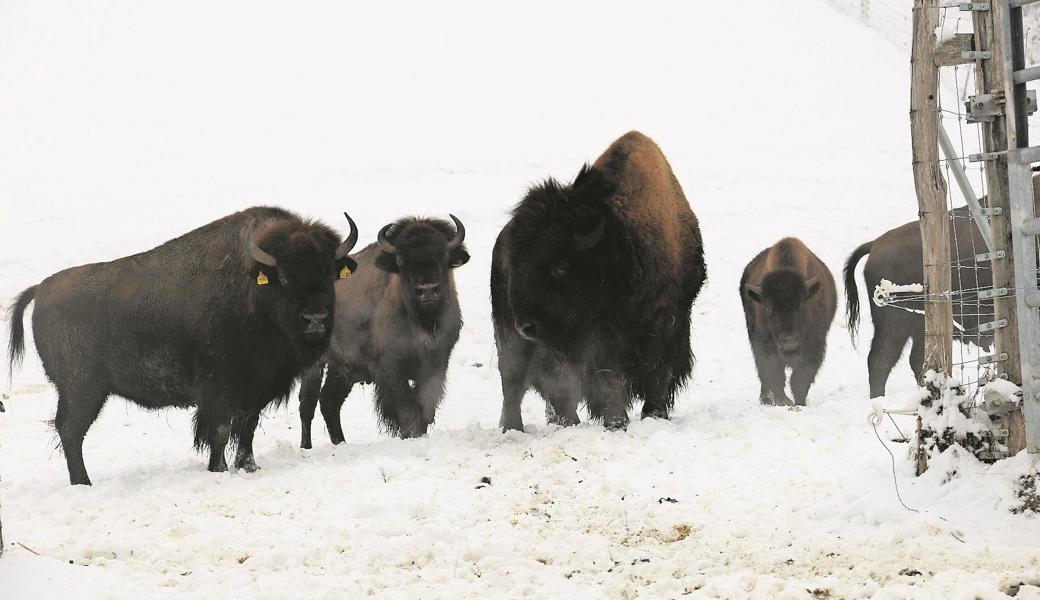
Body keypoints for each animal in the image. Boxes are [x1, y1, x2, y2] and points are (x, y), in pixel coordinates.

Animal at [7, 205, 357, 482]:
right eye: (283, 277)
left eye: (329, 274)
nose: (315, 319)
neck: (255, 289)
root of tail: (41, 289)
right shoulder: (220, 391)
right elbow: (220, 431)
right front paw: (218, 470)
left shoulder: (254, 390)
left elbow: (247, 429)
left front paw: (249, 467)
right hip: (83, 389)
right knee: (71, 431)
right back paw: (84, 483)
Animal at [297, 215, 467, 445]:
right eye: (401, 261)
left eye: (444, 256)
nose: (427, 291)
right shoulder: (390, 369)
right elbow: (406, 408)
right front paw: (410, 435)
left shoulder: (437, 364)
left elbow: (425, 406)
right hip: (315, 364)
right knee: (308, 404)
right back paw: (307, 447)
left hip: (342, 369)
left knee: (329, 401)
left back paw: (341, 443)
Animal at [488, 131, 703, 430]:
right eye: (516, 265)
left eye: (560, 268)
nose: (526, 327)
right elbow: (609, 382)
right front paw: (617, 422)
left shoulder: (669, 325)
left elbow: (657, 376)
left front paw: (653, 416)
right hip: (510, 341)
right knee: (514, 386)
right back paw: (516, 428)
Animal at [740, 236, 836, 405]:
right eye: (769, 307)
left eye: (801, 304)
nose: (789, 340)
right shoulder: (764, 345)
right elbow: (773, 375)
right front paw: (784, 401)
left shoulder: (814, 345)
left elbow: (800, 379)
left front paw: (799, 403)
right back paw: (765, 399)